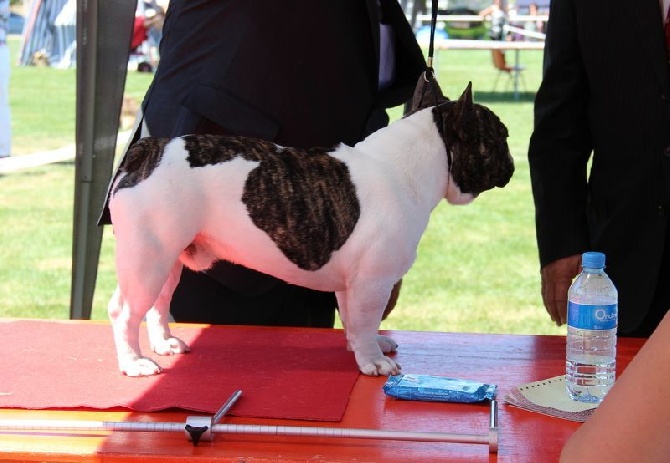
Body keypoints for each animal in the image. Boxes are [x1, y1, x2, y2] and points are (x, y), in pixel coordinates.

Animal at [106, 84, 516, 376]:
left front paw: (363, 347)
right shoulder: (374, 281)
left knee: (158, 303)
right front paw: (373, 362)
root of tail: (148, 149)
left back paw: (164, 344)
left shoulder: (354, 284)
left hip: (167, 258)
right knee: (124, 312)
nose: (513, 163)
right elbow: (366, 318)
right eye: (501, 136)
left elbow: (354, 320)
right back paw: (133, 363)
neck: (412, 166)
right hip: (147, 258)